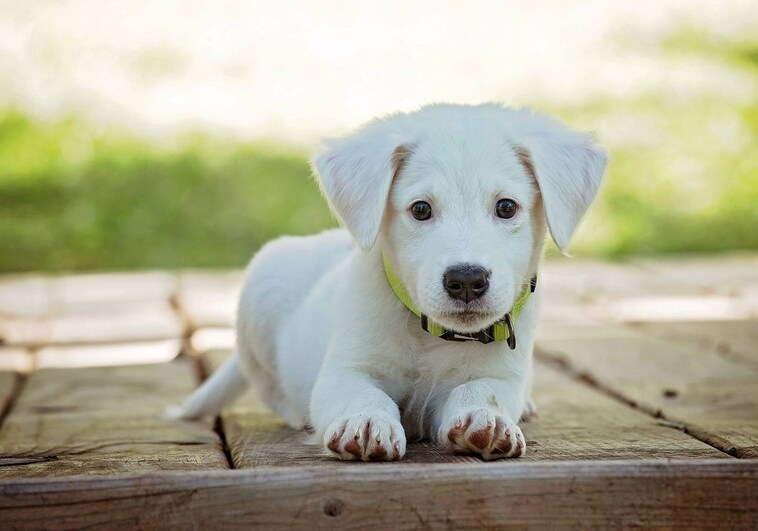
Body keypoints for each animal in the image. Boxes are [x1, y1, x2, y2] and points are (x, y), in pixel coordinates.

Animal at [181, 104, 608, 462]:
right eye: (420, 209)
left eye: (506, 207)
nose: (466, 280)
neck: (429, 335)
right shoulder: (345, 370)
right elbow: (363, 393)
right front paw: (367, 421)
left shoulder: (501, 375)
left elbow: (482, 390)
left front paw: (484, 419)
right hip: (262, 290)